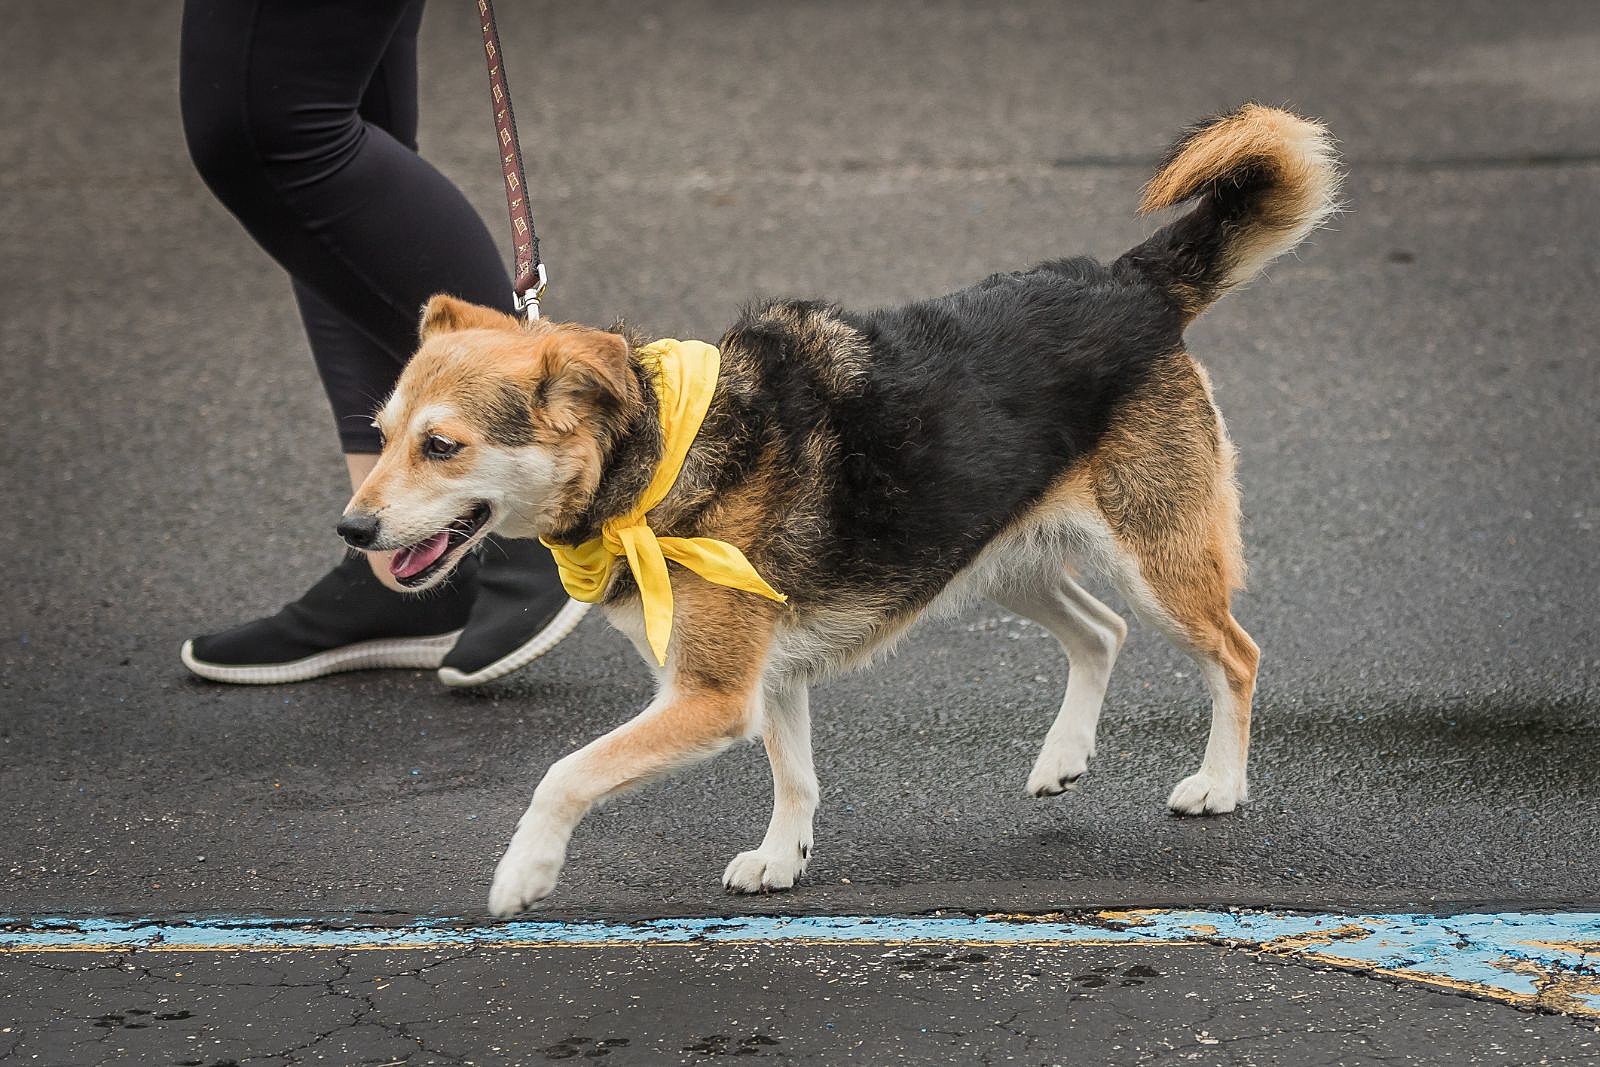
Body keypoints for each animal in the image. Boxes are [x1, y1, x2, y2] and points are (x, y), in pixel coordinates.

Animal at [344, 103, 1344, 915]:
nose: (351, 531)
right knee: (1101, 631)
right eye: (381, 435)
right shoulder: (769, 676)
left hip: (1157, 559)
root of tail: (1130, 284)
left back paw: (1219, 782)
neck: (657, 463)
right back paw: (1063, 756)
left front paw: (525, 871)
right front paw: (782, 857)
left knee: (1235, 654)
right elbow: (794, 776)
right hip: (993, 554)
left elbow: (564, 772)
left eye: (442, 446)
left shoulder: (712, 695)